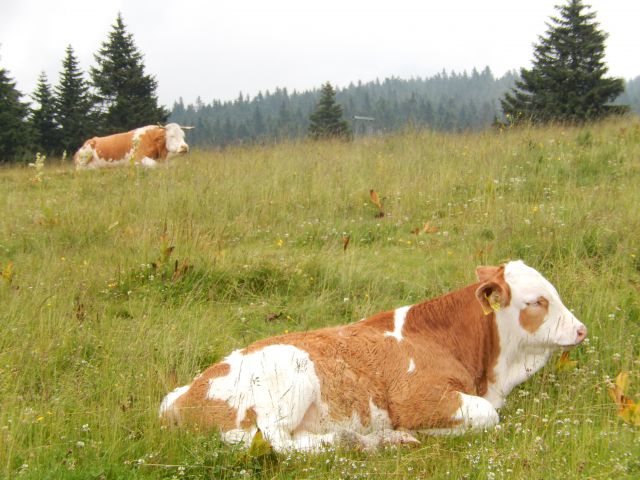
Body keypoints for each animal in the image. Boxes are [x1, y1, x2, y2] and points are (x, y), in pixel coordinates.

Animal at [159, 260, 584, 452]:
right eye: (537, 301)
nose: (581, 329)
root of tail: (182, 398)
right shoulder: (417, 399)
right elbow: (487, 415)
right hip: (288, 383)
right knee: (277, 441)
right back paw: (357, 440)